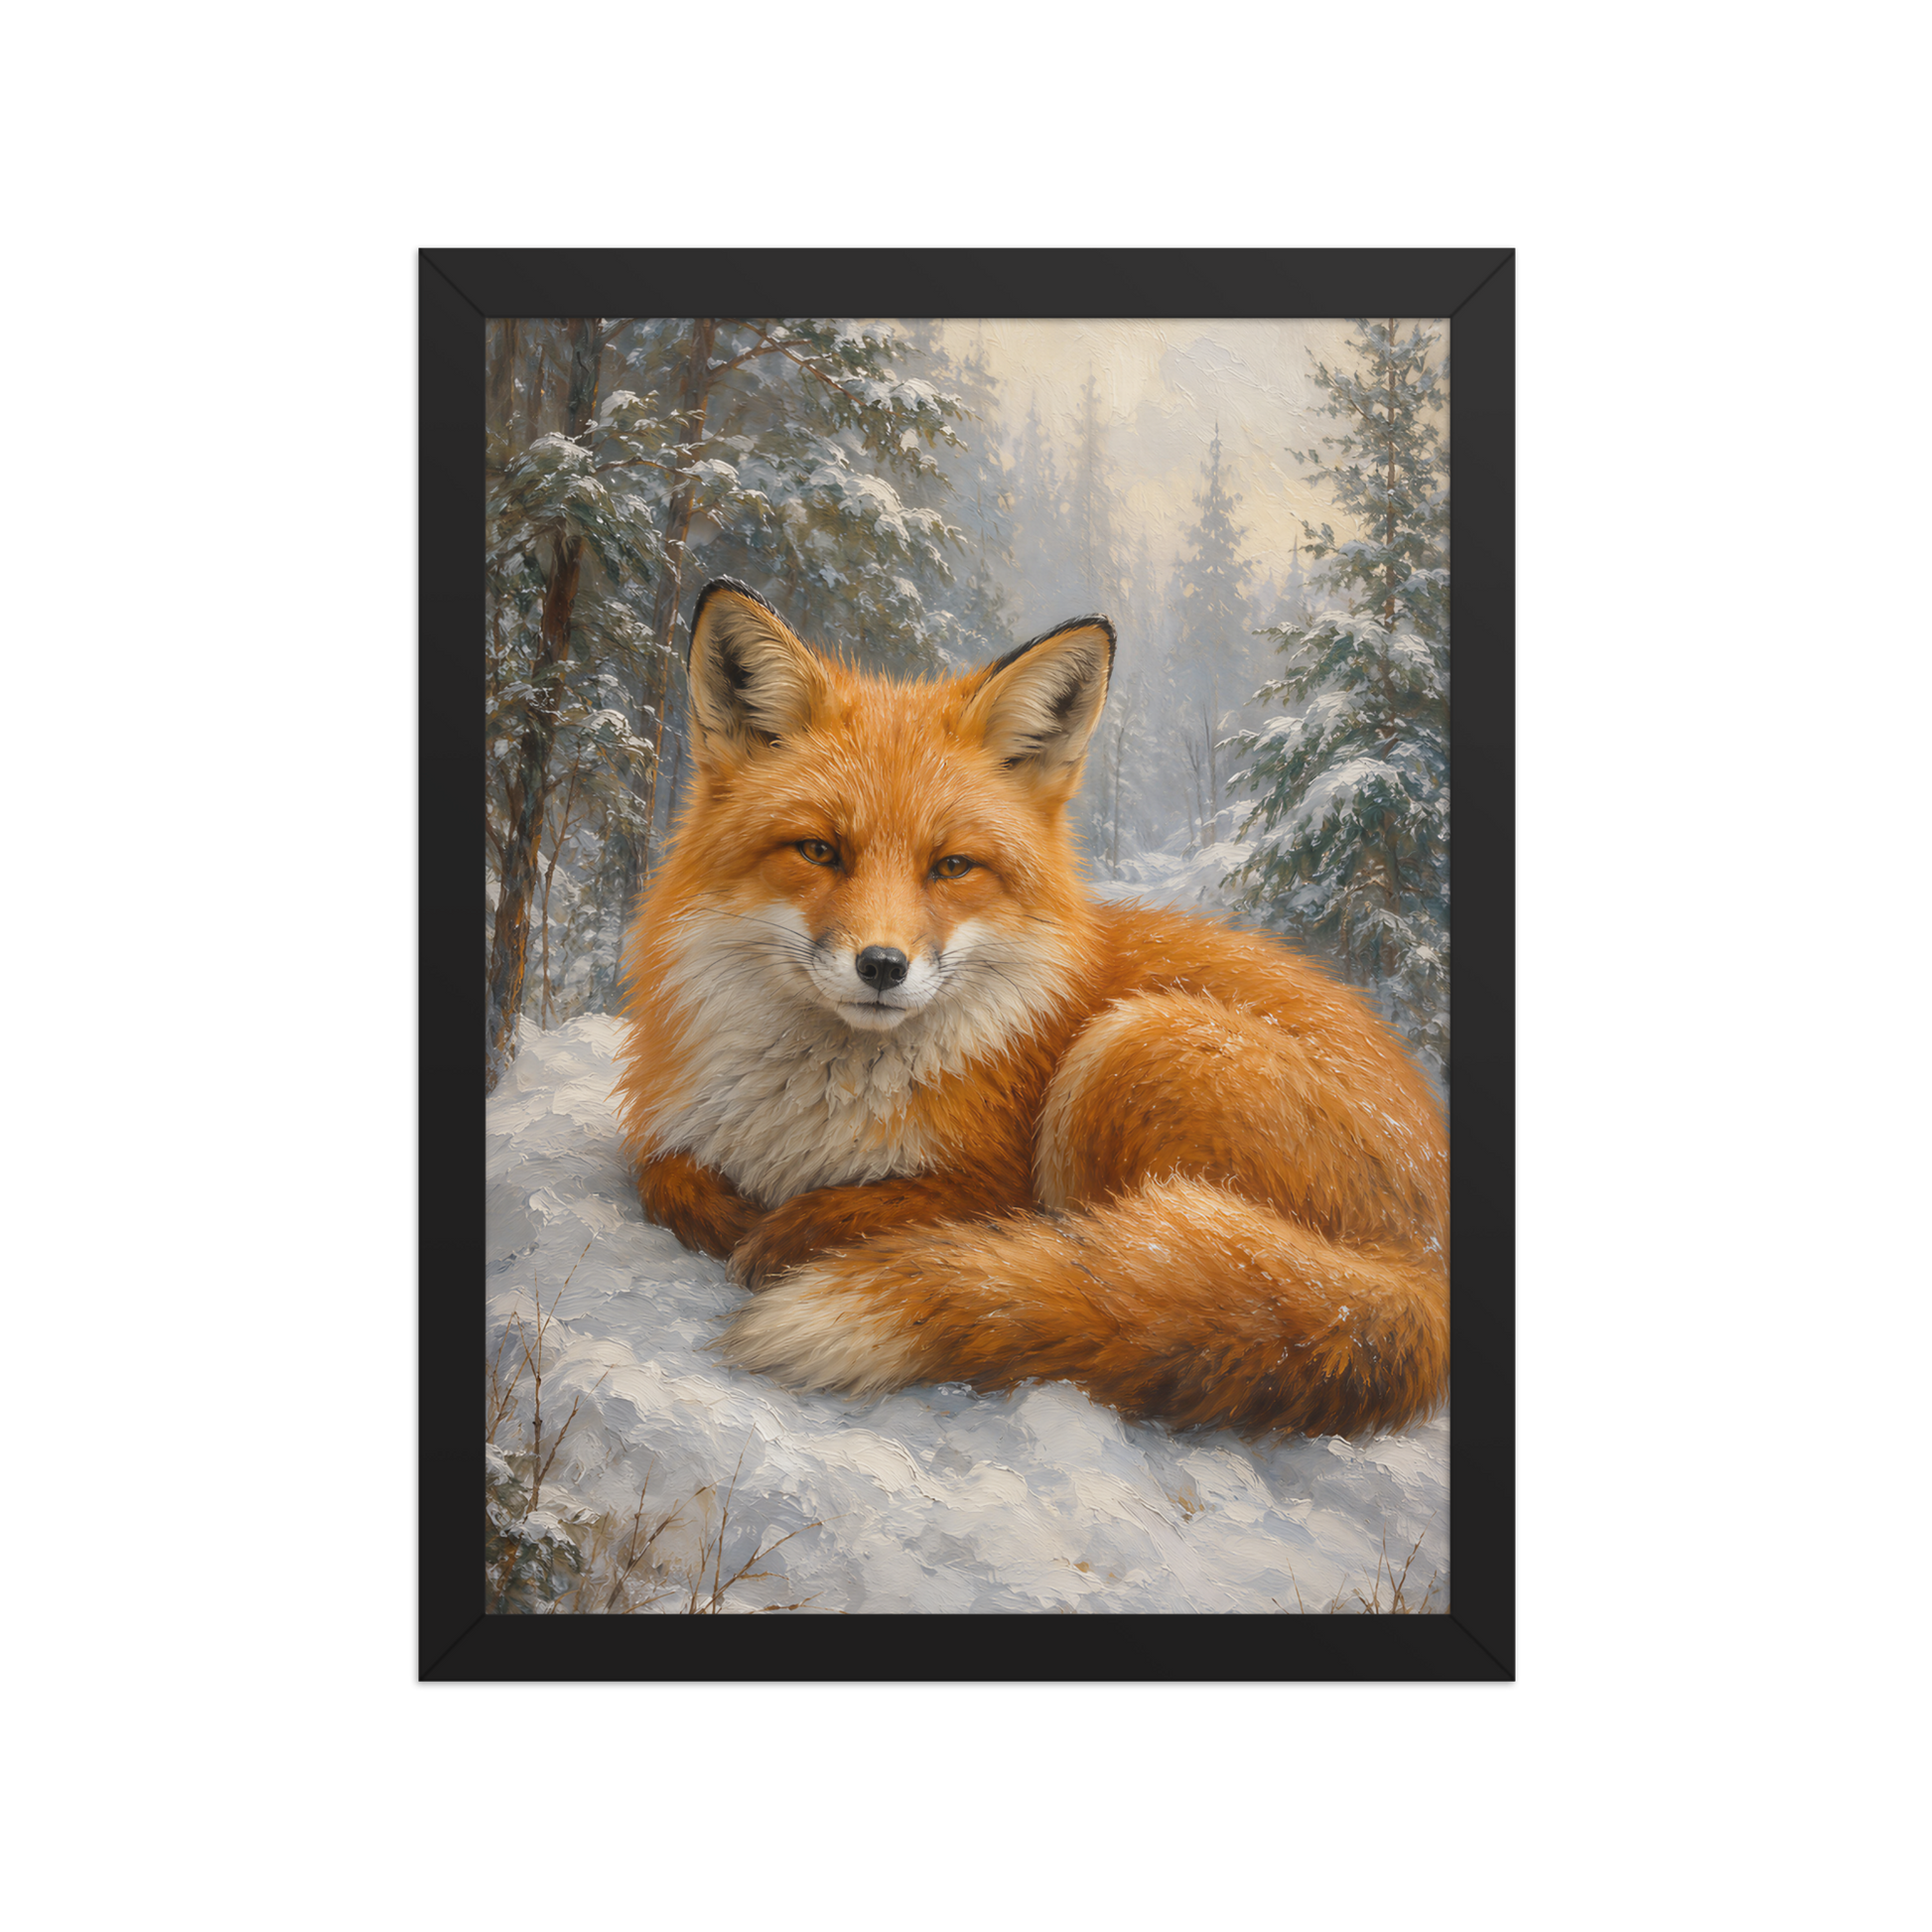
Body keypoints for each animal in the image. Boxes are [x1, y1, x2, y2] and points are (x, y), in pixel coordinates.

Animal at [613, 577, 1448, 1441]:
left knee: (1115, 1265)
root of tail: (1426, 1263)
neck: (811, 1111)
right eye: (819, 851)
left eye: (952, 866)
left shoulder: (992, 1180)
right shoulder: (677, 1130)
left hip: (1130, 1048)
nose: (882, 966)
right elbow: (662, 1174)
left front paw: (789, 1233)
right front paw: (726, 1213)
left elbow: (884, 1207)